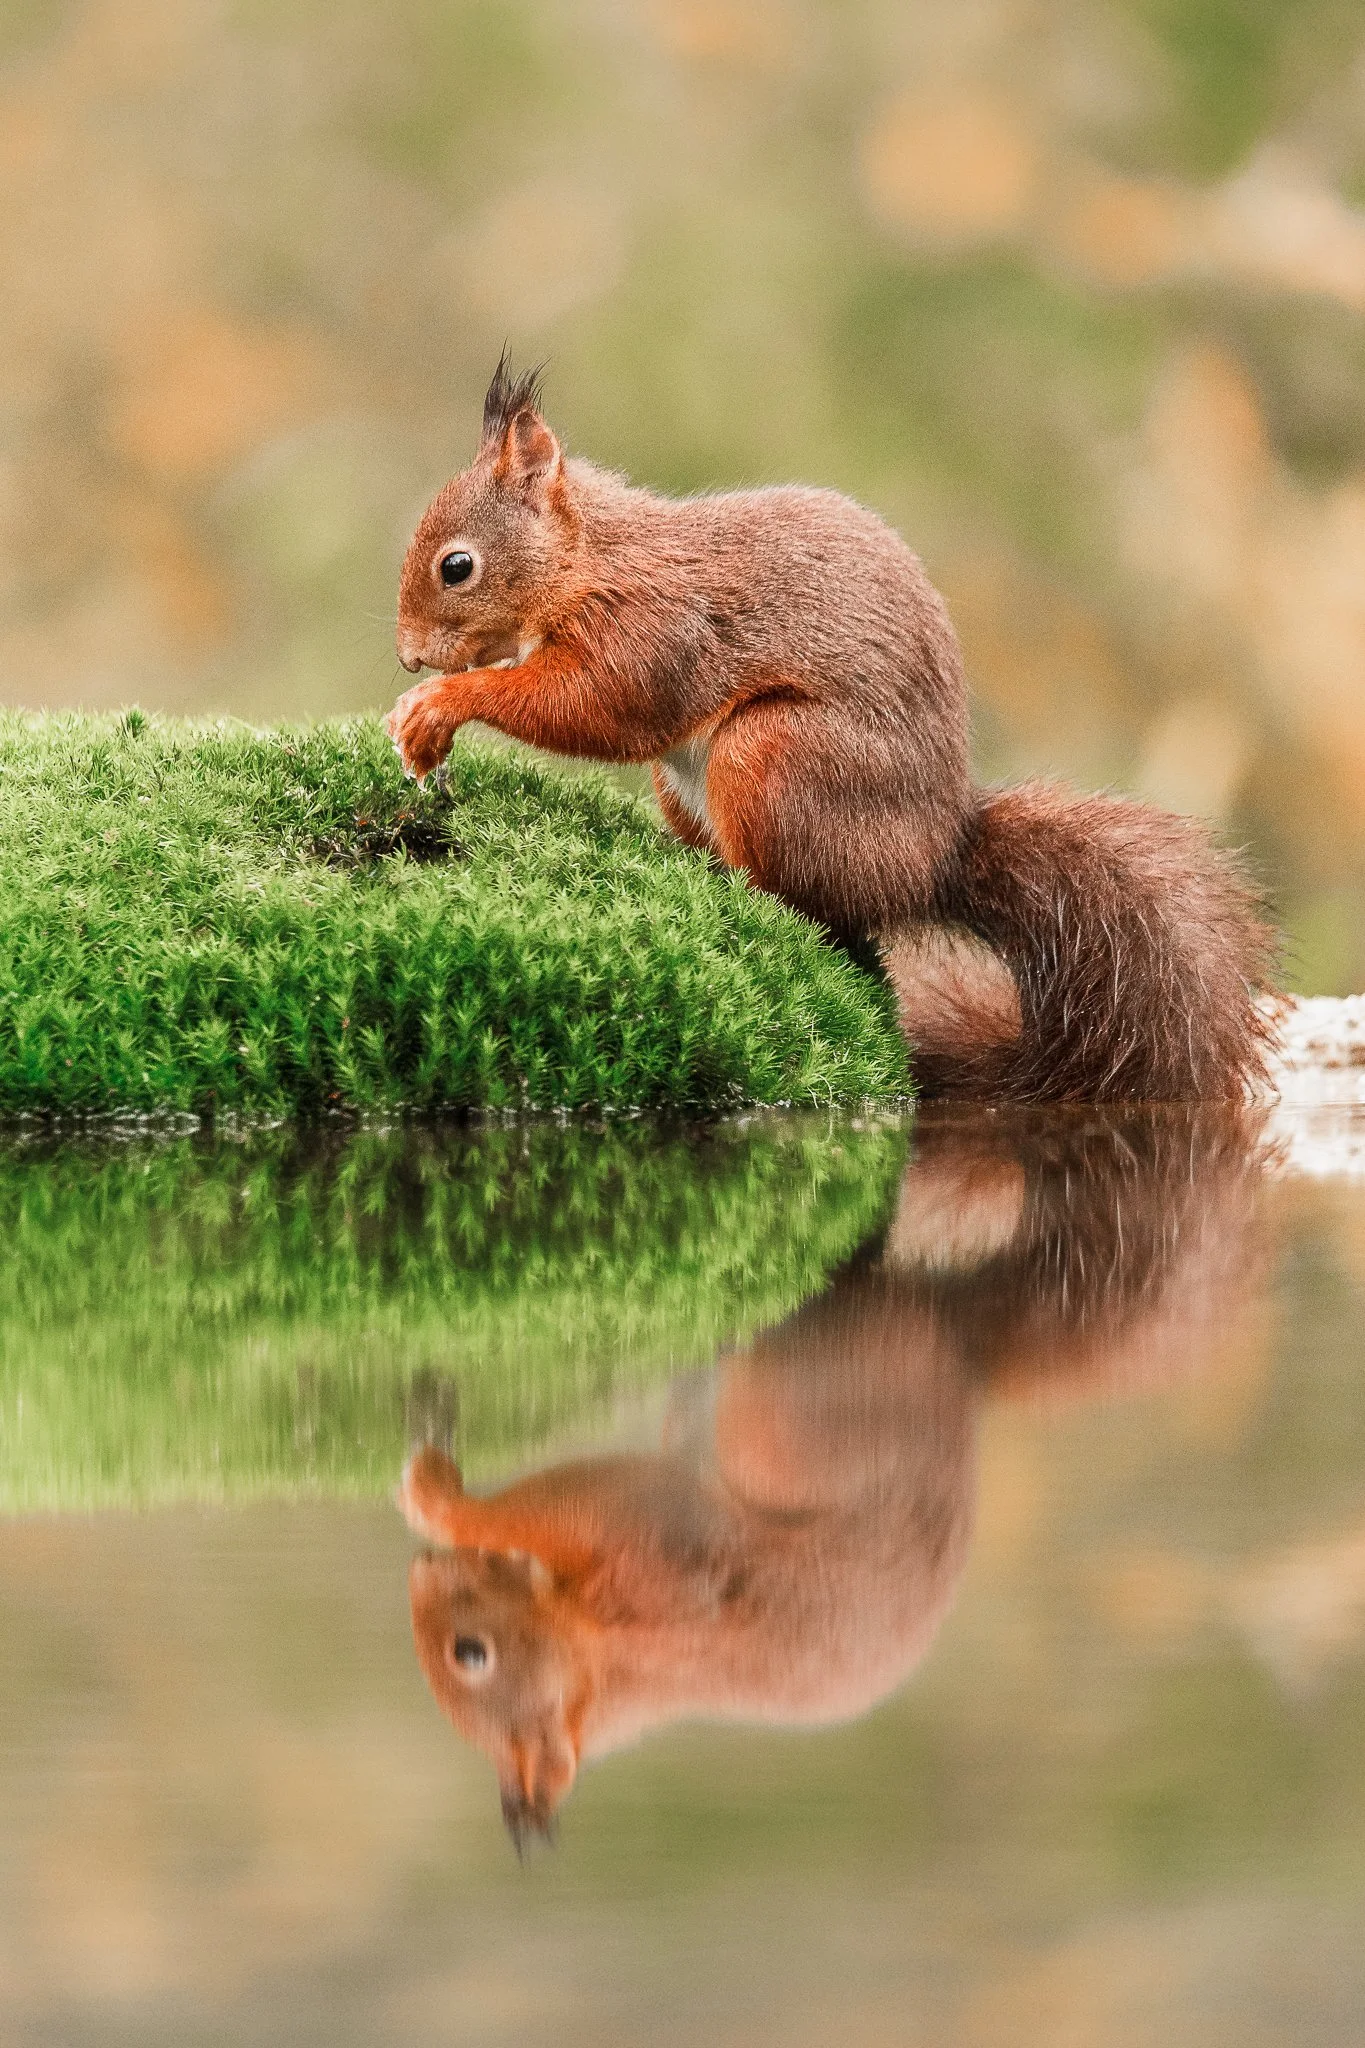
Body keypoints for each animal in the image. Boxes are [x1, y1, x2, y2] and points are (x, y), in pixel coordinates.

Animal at [388, 356, 1278, 1102]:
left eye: (456, 566)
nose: (406, 656)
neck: (588, 560)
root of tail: (931, 860)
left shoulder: (655, 630)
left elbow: (601, 707)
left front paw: (439, 704)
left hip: (775, 756)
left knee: (813, 908)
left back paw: (739, 891)